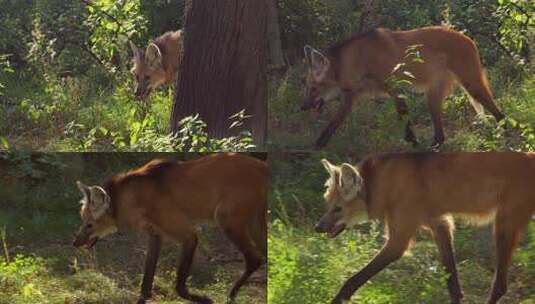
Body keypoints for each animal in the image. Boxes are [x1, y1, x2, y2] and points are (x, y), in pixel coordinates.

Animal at [72, 153, 268, 302]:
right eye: (83, 221)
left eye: (89, 225)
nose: (75, 242)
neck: (135, 199)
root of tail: (262, 166)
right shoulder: (156, 234)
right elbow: (146, 282)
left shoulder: (189, 234)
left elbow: (179, 285)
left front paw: (204, 299)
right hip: (255, 224)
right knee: (263, 254)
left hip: (226, 220)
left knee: (255, 258)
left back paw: (231, 295)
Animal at [304, 25, 504, 148]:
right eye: (307, 88)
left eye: (313, 88)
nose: (302, 107)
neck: (359, 60)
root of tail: (469, 39)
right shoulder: (351, 95)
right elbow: (333, 123)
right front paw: (317, 148)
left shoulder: (394, 86)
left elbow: (404, 115)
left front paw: (413, 143)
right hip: (433, 94)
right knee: (440, 134)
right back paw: (434, 148)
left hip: (471, 85)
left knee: (499, 113)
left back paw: (503, 134)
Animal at [316, 153, 535, 302]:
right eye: (327, 205)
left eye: (338, 209)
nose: (318, 227)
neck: (382, 185)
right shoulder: (440, 225)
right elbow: (452, 283)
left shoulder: (399, 240)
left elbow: (352, 281)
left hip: (503, 225)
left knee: (500, 285)